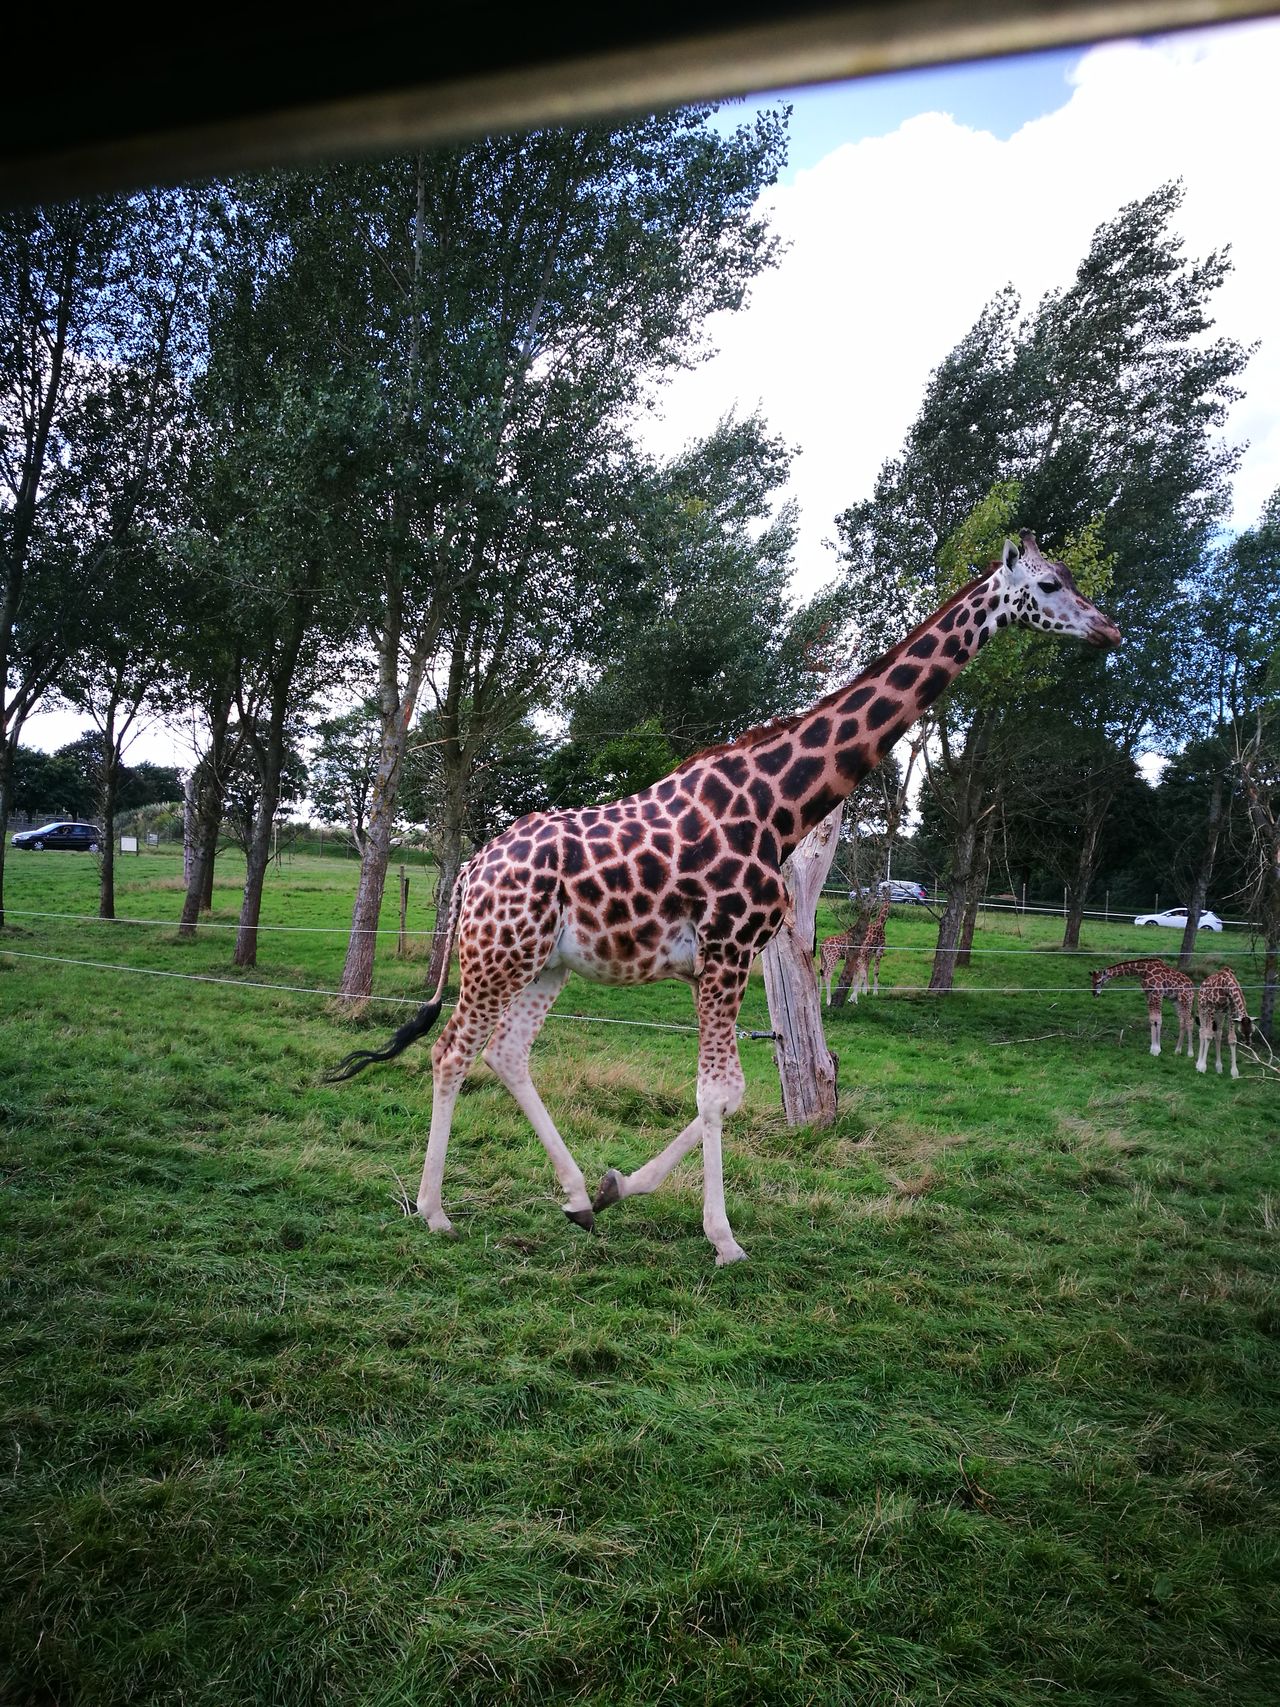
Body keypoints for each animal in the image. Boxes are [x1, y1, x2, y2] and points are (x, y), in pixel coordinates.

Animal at [332, 532, 1119, 1270]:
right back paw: (435, 1211)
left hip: (546, 962)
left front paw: (621, 1186)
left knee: (507, 1051)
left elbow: (730, 1092)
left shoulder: (721, 960)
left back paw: (579, 1197)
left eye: (1072, 577)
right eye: (1050, 584)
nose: (1109, 629)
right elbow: (719, 1092)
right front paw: (723, 1238)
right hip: (498, 954)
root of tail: (471, 869)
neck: (782, 806)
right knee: (452, 1052)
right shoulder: (728, 950)